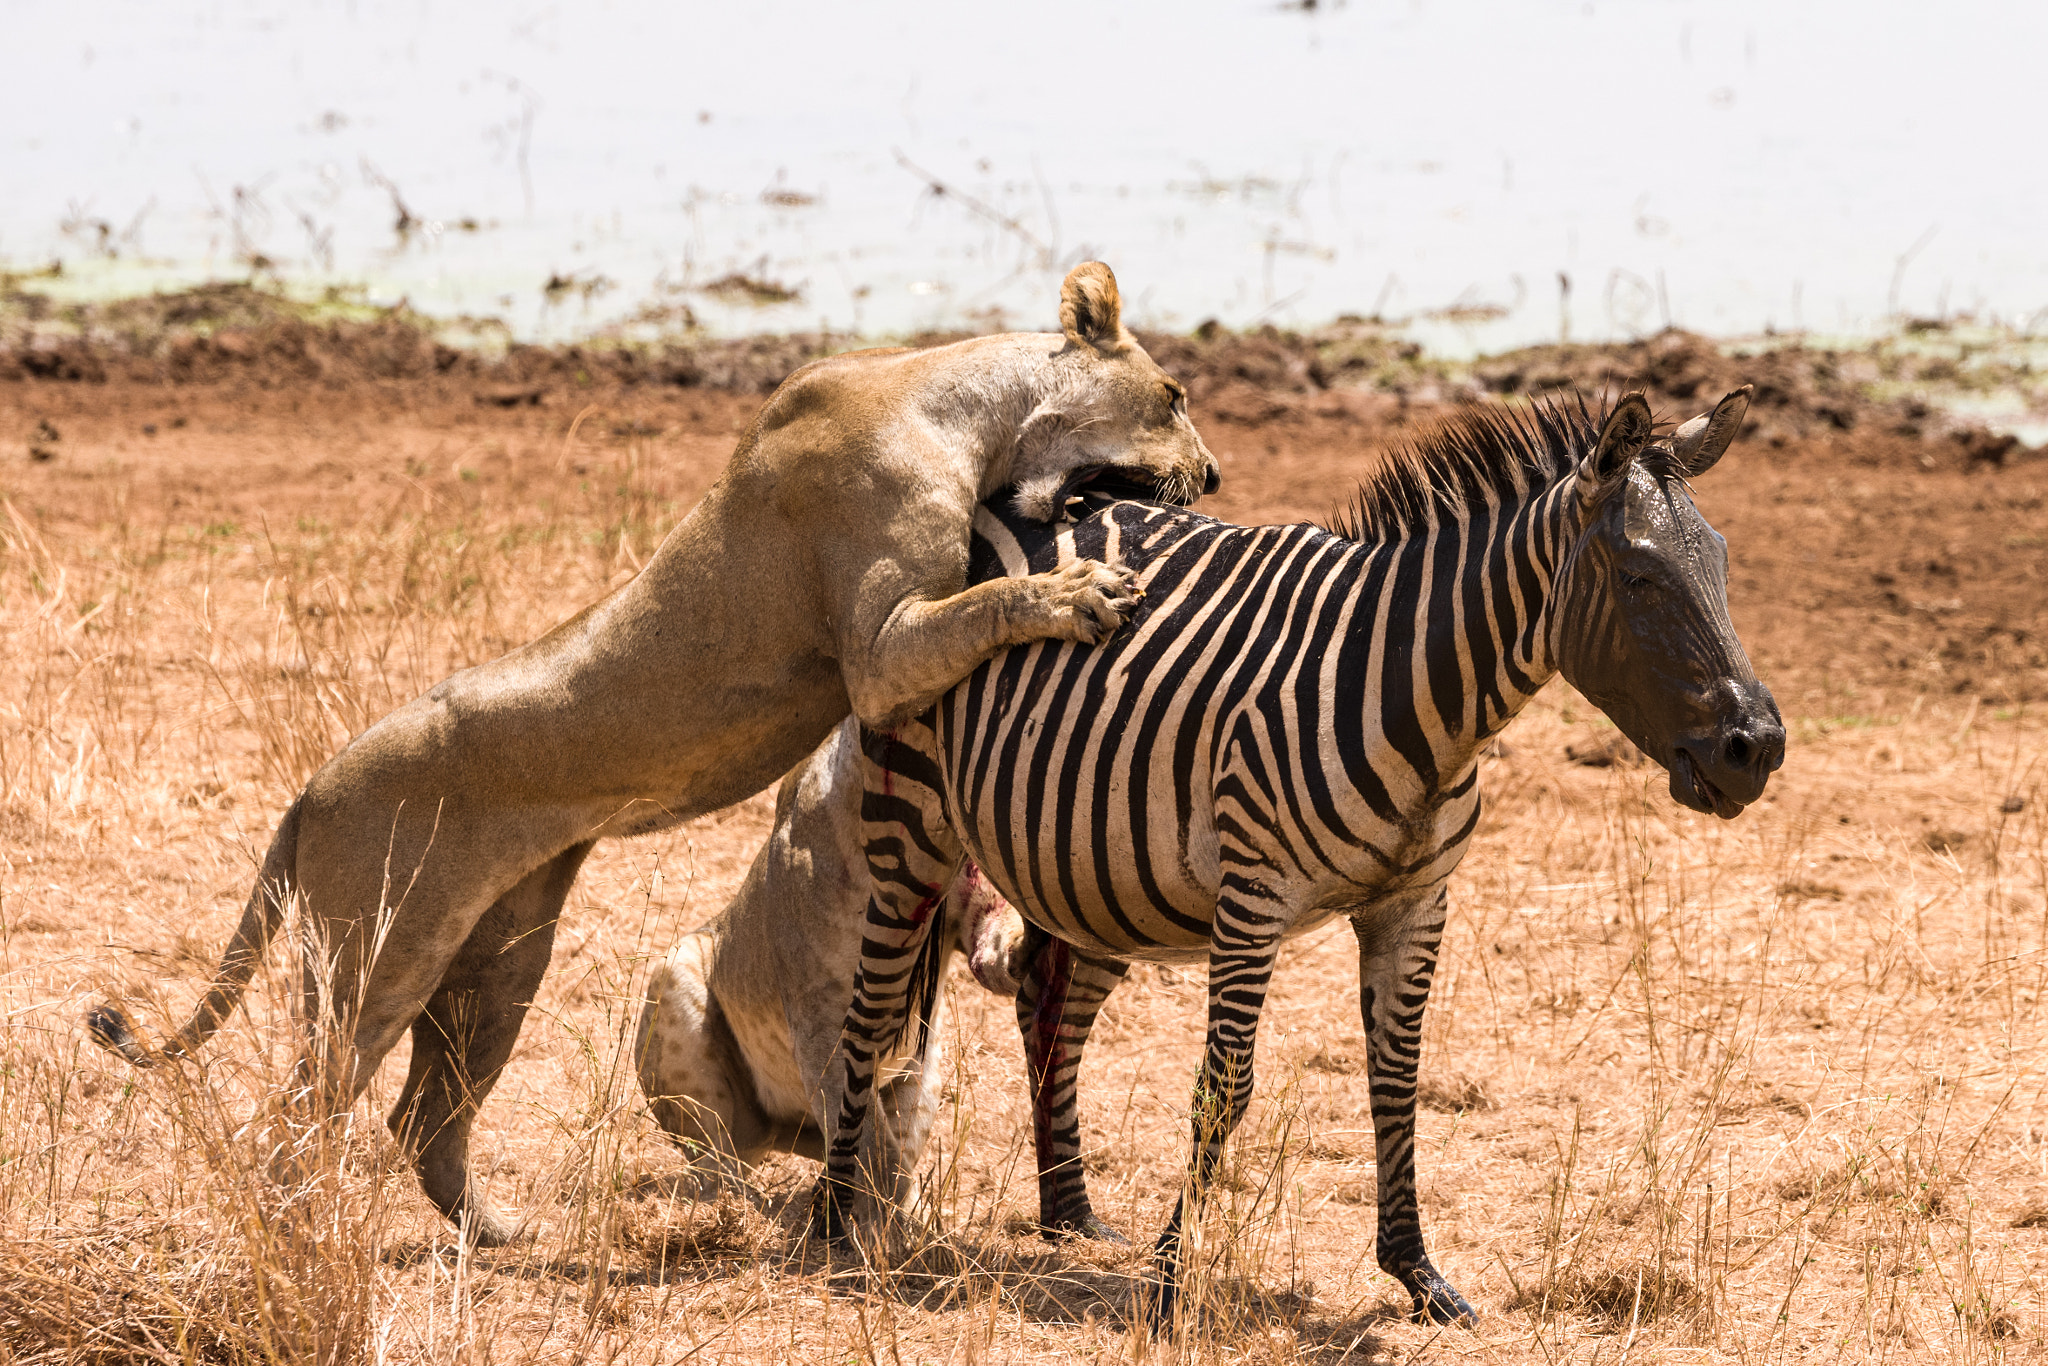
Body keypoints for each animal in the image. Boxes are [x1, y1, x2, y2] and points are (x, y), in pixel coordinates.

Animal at [634, 719, 1025, 1208]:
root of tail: (779, 1134)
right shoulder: (823, 1024)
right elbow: (873, 1150)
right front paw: (889, 1226)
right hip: (673, 972)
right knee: (716, 1159)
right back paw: (740, 1207)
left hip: (924, 1064)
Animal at [815, 388, 1783, 1327]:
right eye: (1640, 580)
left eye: (1724, 567)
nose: (1759, 748)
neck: (1414, 693)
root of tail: (999, 501)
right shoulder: (1255, 895)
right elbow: (1224, 1088)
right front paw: (1169, 1287)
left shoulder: (1414, 902)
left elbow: (1396, 1077)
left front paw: (1417, 1274)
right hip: (913, 823)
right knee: (869, 1014)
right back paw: (834, 1223)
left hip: (1091, 864)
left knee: (1051, 1004)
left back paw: (1069, 1215)